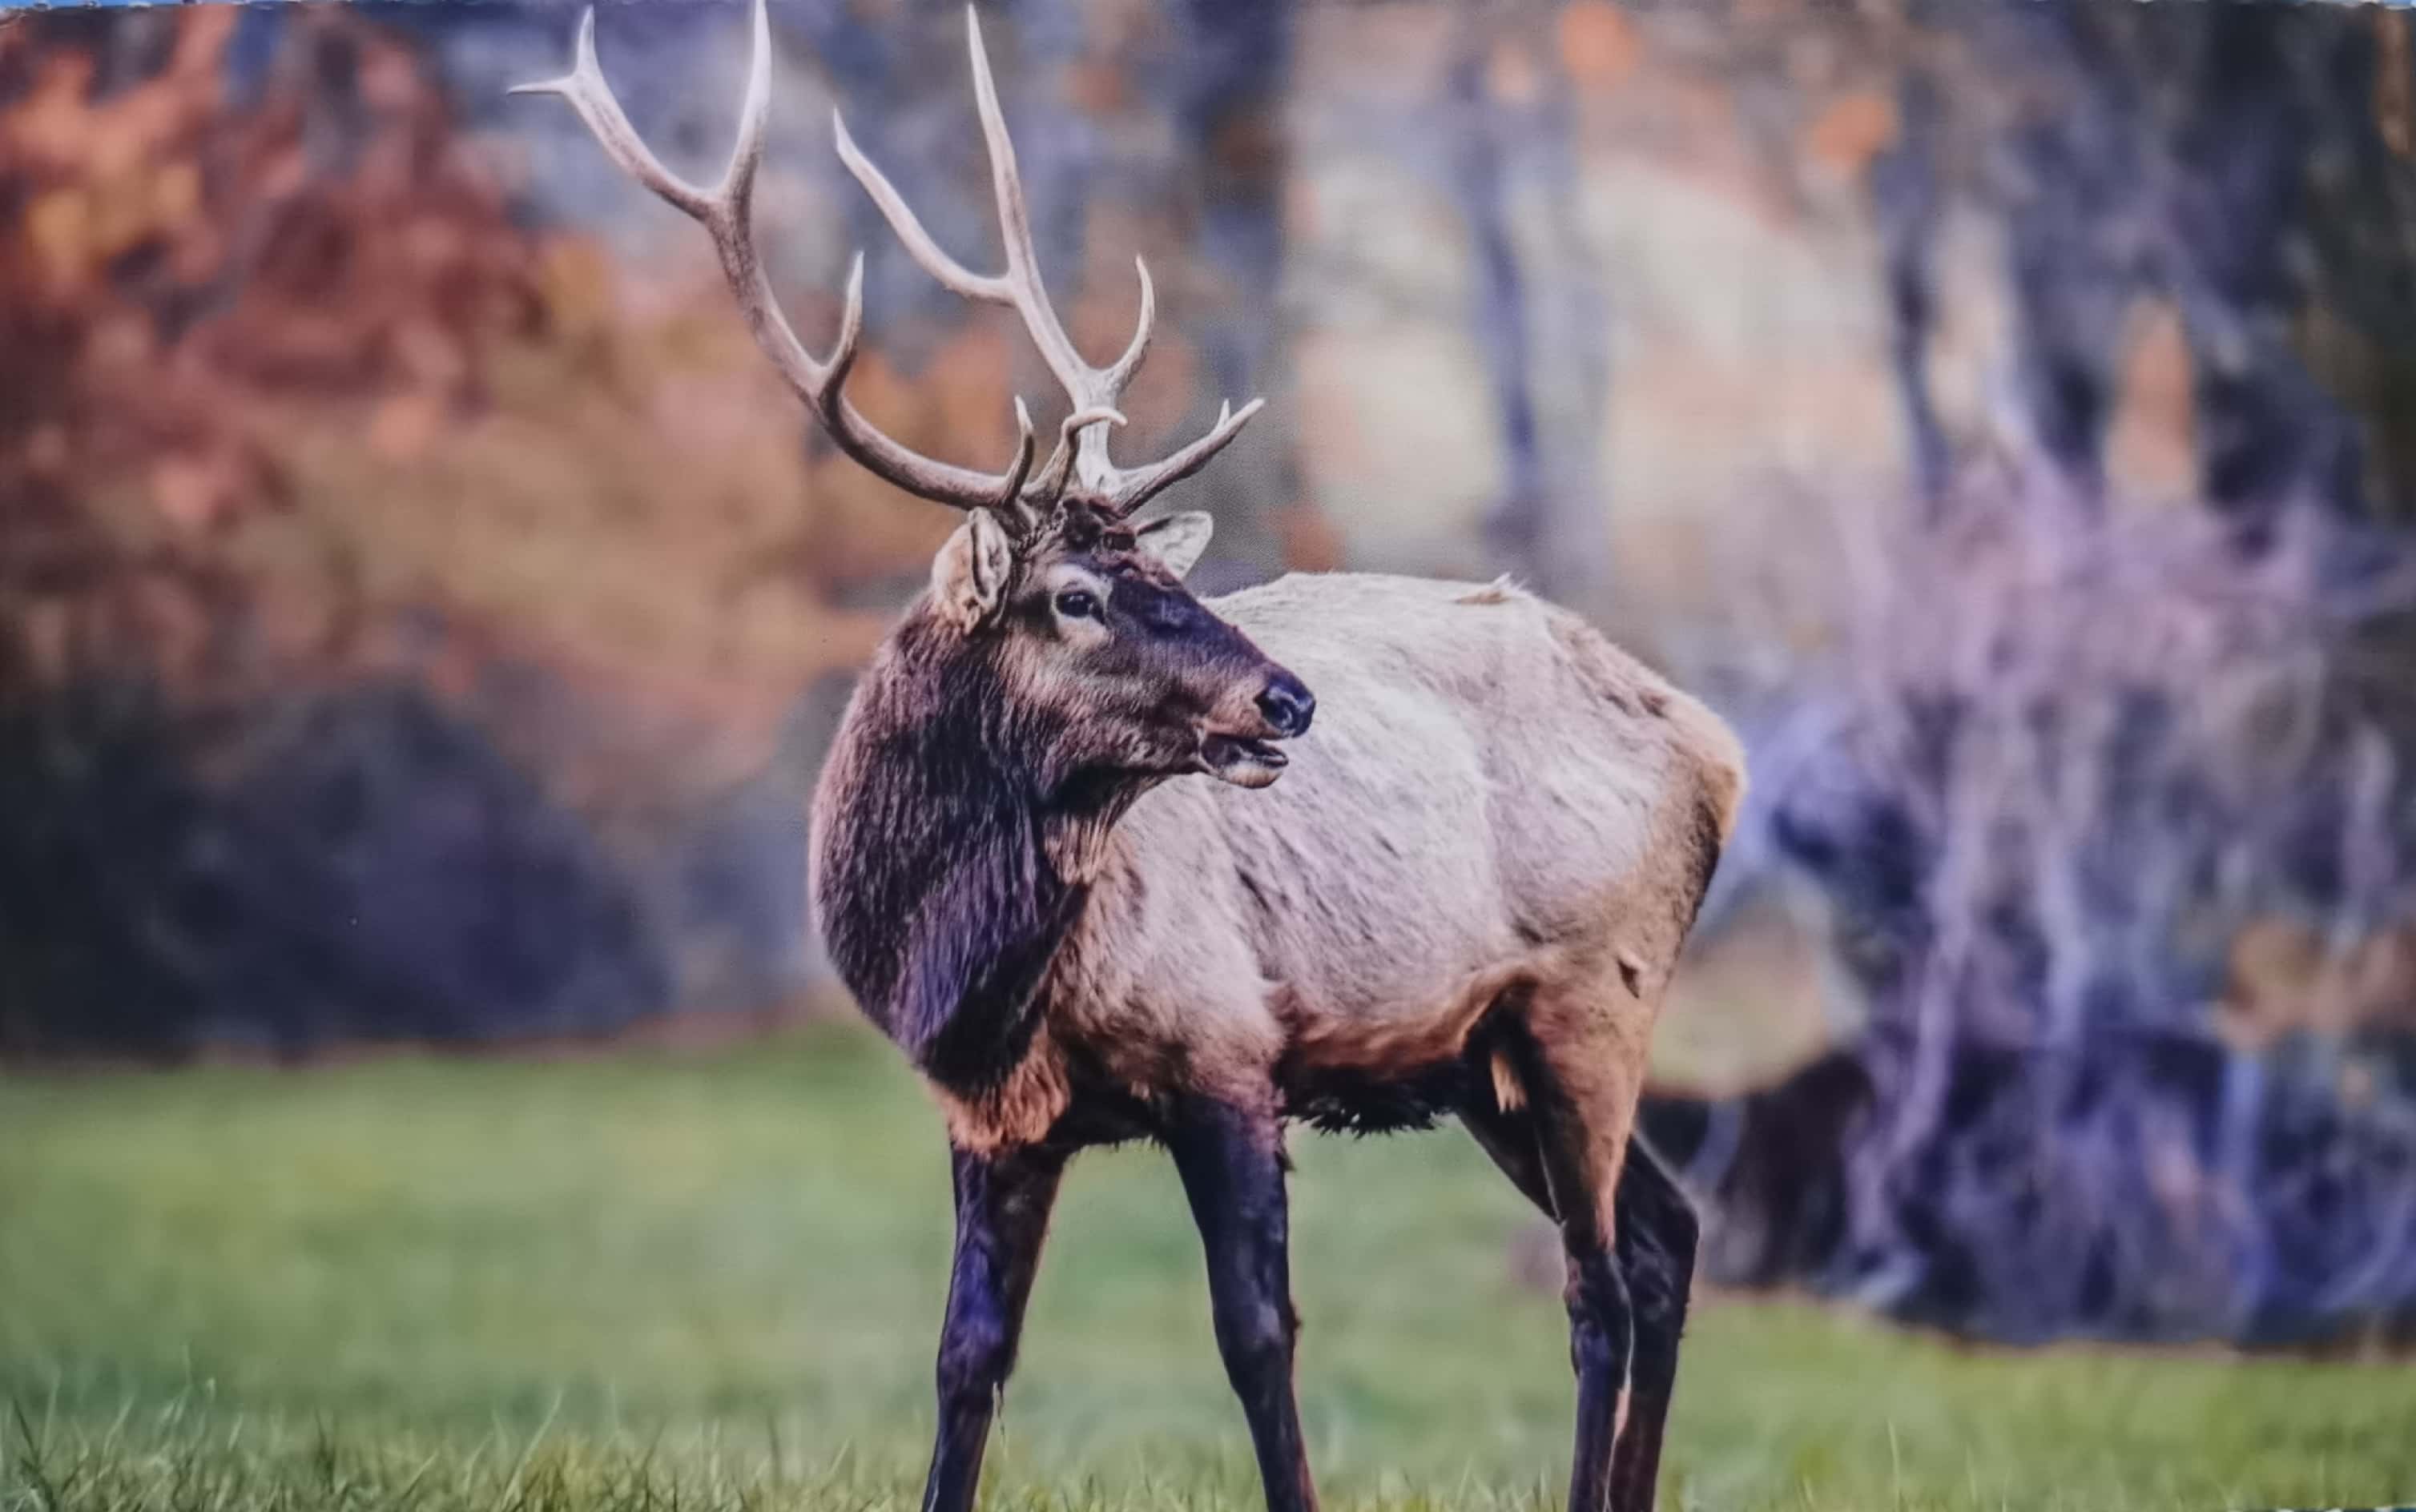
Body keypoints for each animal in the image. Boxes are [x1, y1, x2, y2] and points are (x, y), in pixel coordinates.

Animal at [515, 8, 1746, 1512]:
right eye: (1078, 596)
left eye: (1164, 570)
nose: (1288, 699)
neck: (961, 969)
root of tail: (1719, 746)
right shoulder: (988, 1115)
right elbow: (967, 1356)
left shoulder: (1227, 1049)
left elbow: (1257, 1336)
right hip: (1483, 1058)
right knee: (1666, 1239)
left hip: (1588, 997)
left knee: (1601, 1286)